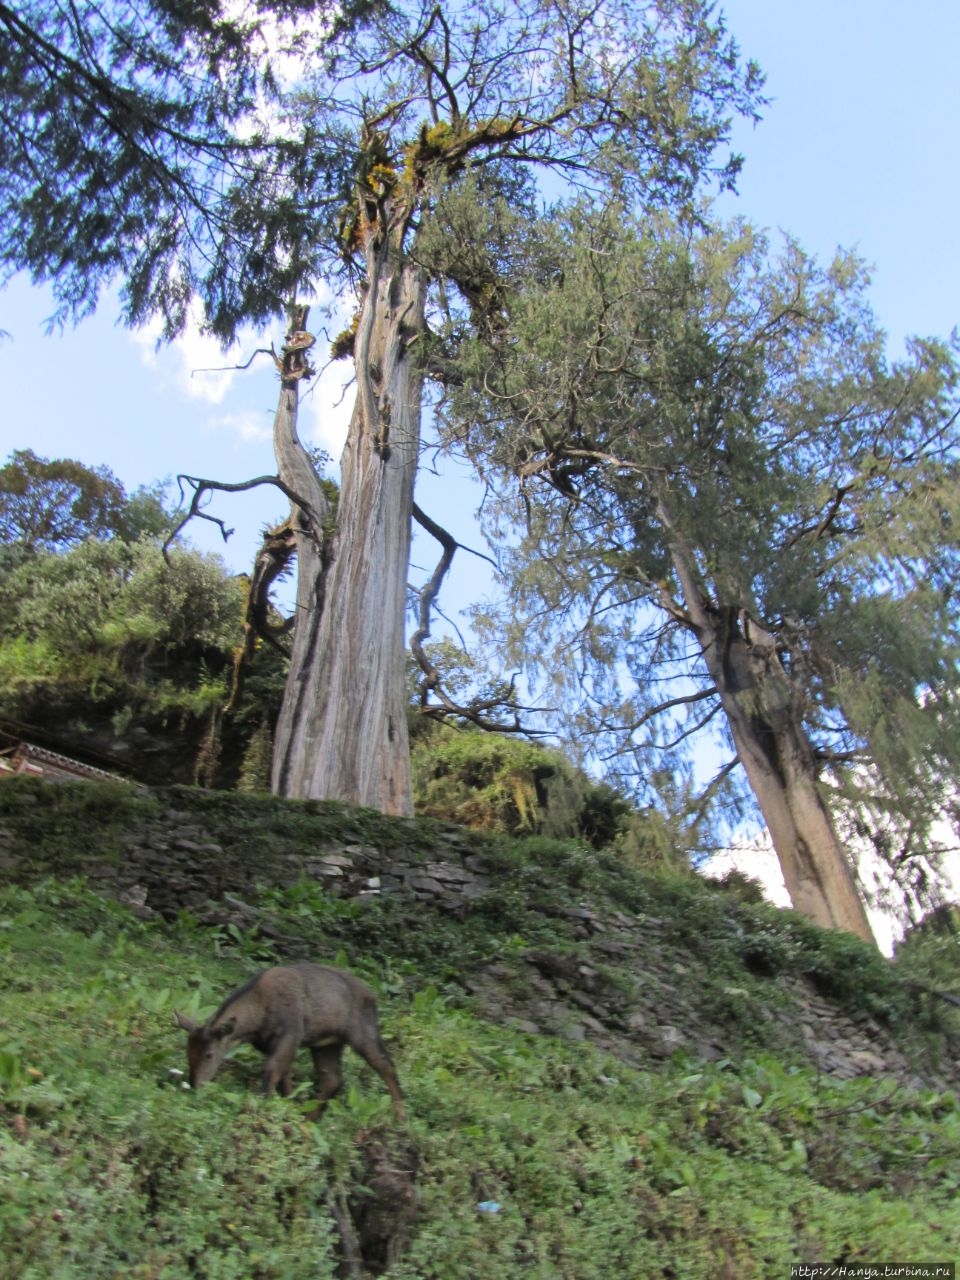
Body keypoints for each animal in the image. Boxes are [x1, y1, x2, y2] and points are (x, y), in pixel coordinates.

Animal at [175, 962, 404, 1116]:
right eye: (188, 1052)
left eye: (209, 1054)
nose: (195, 1085)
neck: (256, 1022)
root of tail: (373, 997)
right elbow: (285, 1078)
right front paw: (289, 1107)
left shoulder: (290, 1035)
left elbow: (271, 1072)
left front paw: (265, 1106)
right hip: (328, 1043)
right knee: (333, 1079)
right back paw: (310, 1118)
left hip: (363, 1033)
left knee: (386, 1065)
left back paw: (399, 1117)